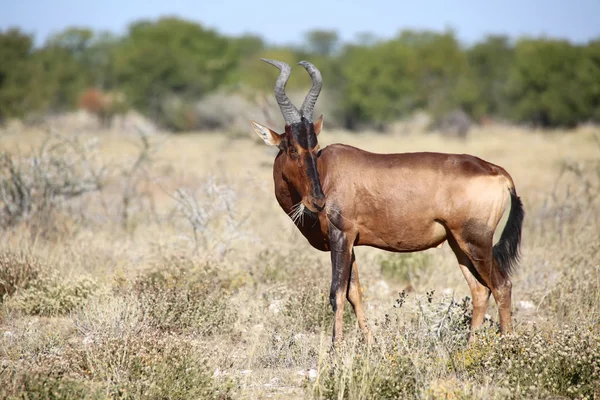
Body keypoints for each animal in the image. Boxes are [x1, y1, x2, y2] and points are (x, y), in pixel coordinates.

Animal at [248, 57, 520, 342]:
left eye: (315, 146)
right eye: (292, 148)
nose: (318, 202)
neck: (326, 171)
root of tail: (498, 172)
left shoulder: (340, 235)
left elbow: (337, 294)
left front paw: (336, 347)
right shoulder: (349, 242)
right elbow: (354, 293)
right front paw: (370, 343)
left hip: (477, 241)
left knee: (502, 285)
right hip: (459, 243)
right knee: (480, 290)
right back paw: (470, 347)